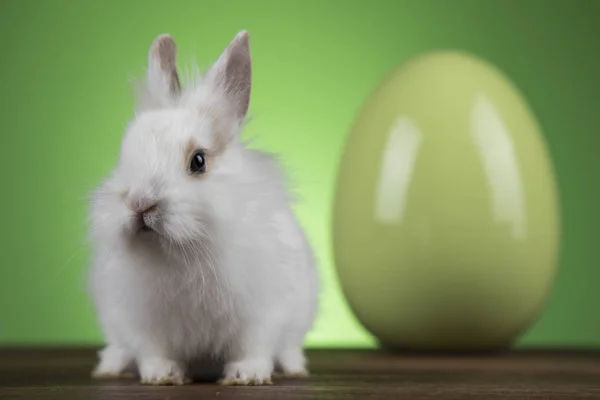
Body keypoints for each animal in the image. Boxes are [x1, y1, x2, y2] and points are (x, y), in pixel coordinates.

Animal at [88, 29, 318, 386]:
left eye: (198, 161)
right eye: (123, 157)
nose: (140, 203)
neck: (181, 253)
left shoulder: (263, 311)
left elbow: (253, 347)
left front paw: (247, 376)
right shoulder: (142, 321)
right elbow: (153, 351)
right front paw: (162, 375)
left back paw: (293, 368)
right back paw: (109, 368)